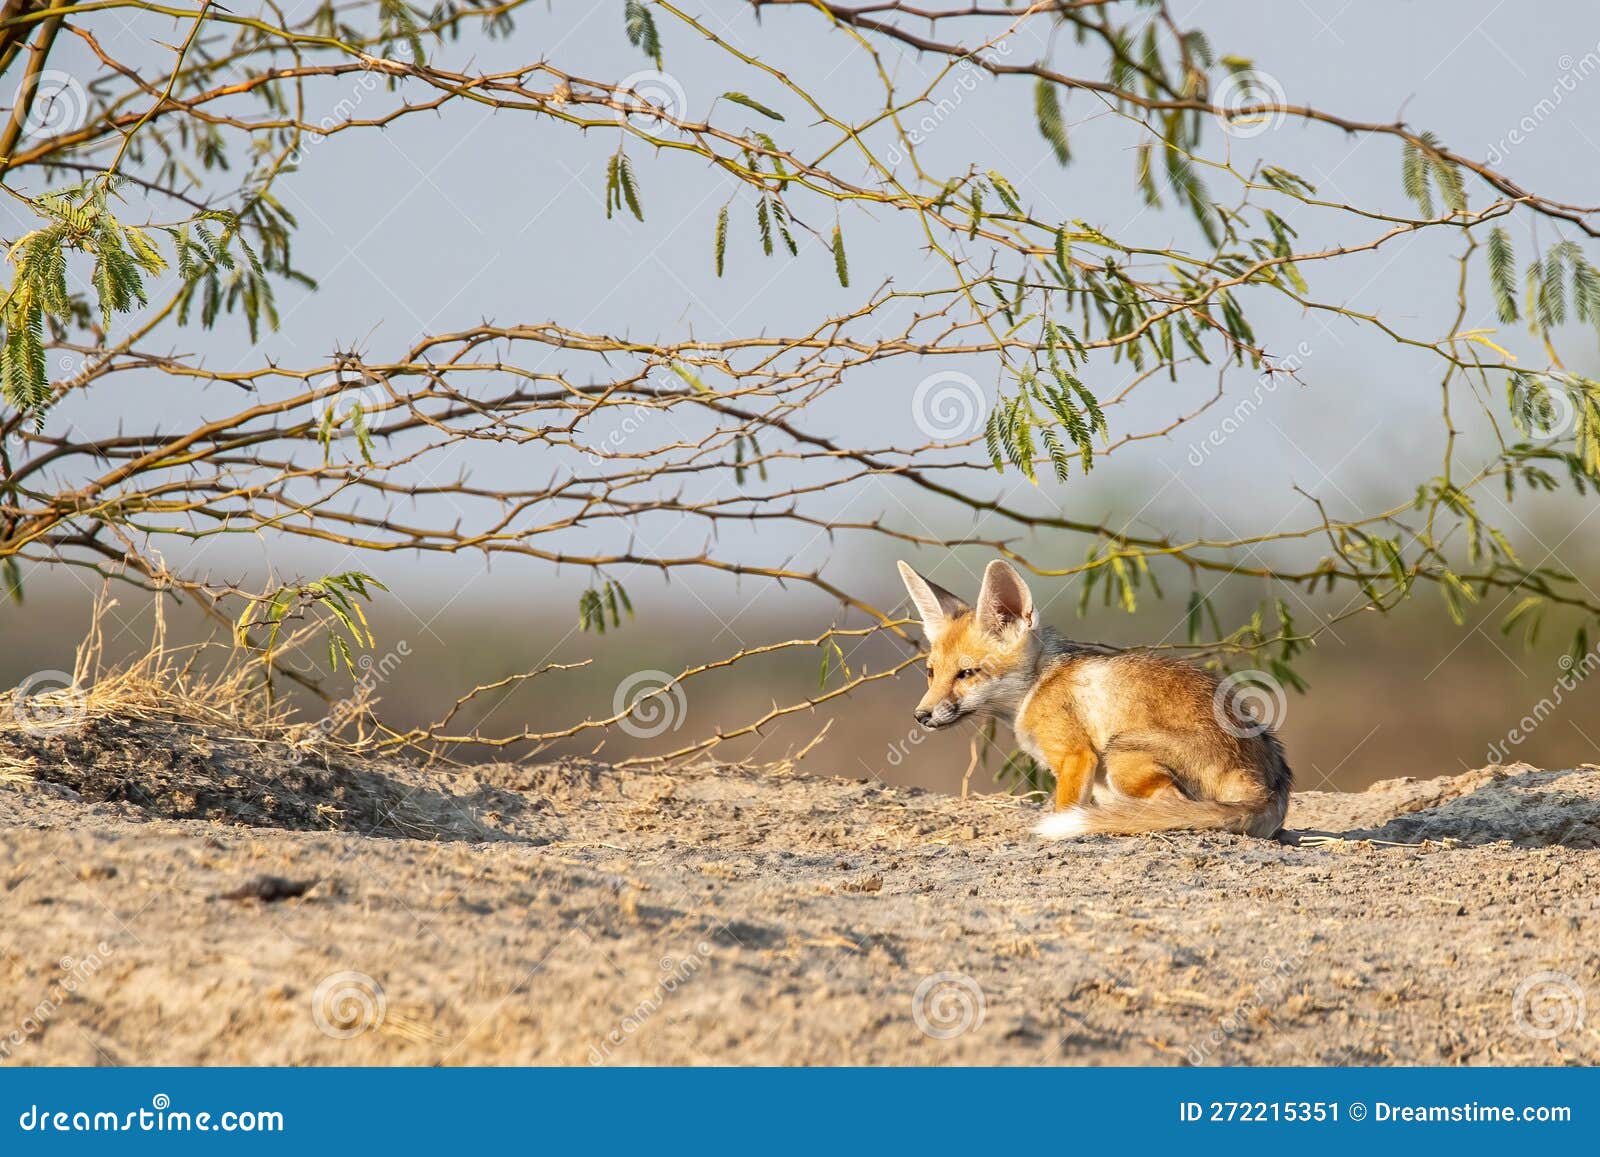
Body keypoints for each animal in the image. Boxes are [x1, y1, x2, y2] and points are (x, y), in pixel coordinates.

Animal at [902, 560, 1286, 838]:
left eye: (966, 673)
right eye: (931, 672)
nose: (921, 715)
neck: (1037, 685)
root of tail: (1269, 784)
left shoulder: (1076, 755)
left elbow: (1064, 807)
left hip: (1119, 757)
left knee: (1169, 805)